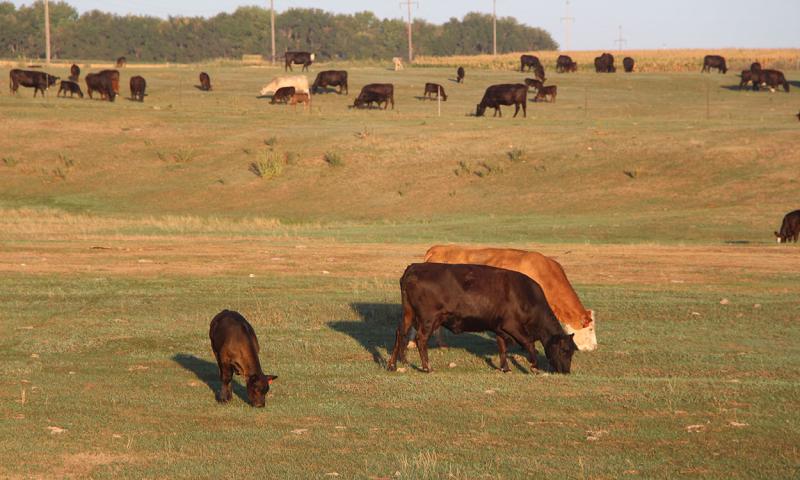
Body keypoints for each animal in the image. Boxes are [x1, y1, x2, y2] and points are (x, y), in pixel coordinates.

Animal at [387, 263, 578, 374]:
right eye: (565, 350)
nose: (566, 371)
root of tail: (415, 267)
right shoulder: (512, 325)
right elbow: (529, 344)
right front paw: (534, 367)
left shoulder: (499, 327)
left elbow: (502, 348)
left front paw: (505, 368)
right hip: (428, 318)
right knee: (421, 338)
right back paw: (427, 367)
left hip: (409, 313)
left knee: (400, 333)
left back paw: (393, 365)